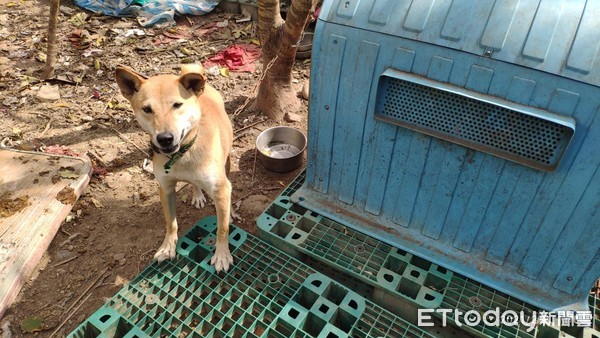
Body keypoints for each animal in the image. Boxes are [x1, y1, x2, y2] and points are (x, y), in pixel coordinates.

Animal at [115, 64, 234, 274]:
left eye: (177, 105)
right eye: (147, 109)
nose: (164, 138)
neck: (182, 155)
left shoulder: (221, 189)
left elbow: (221, 229)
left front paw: (222, 255)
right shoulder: (166, 188)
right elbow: (170, 223)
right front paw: (167, 247)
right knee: (194, 183)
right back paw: (197, 194)